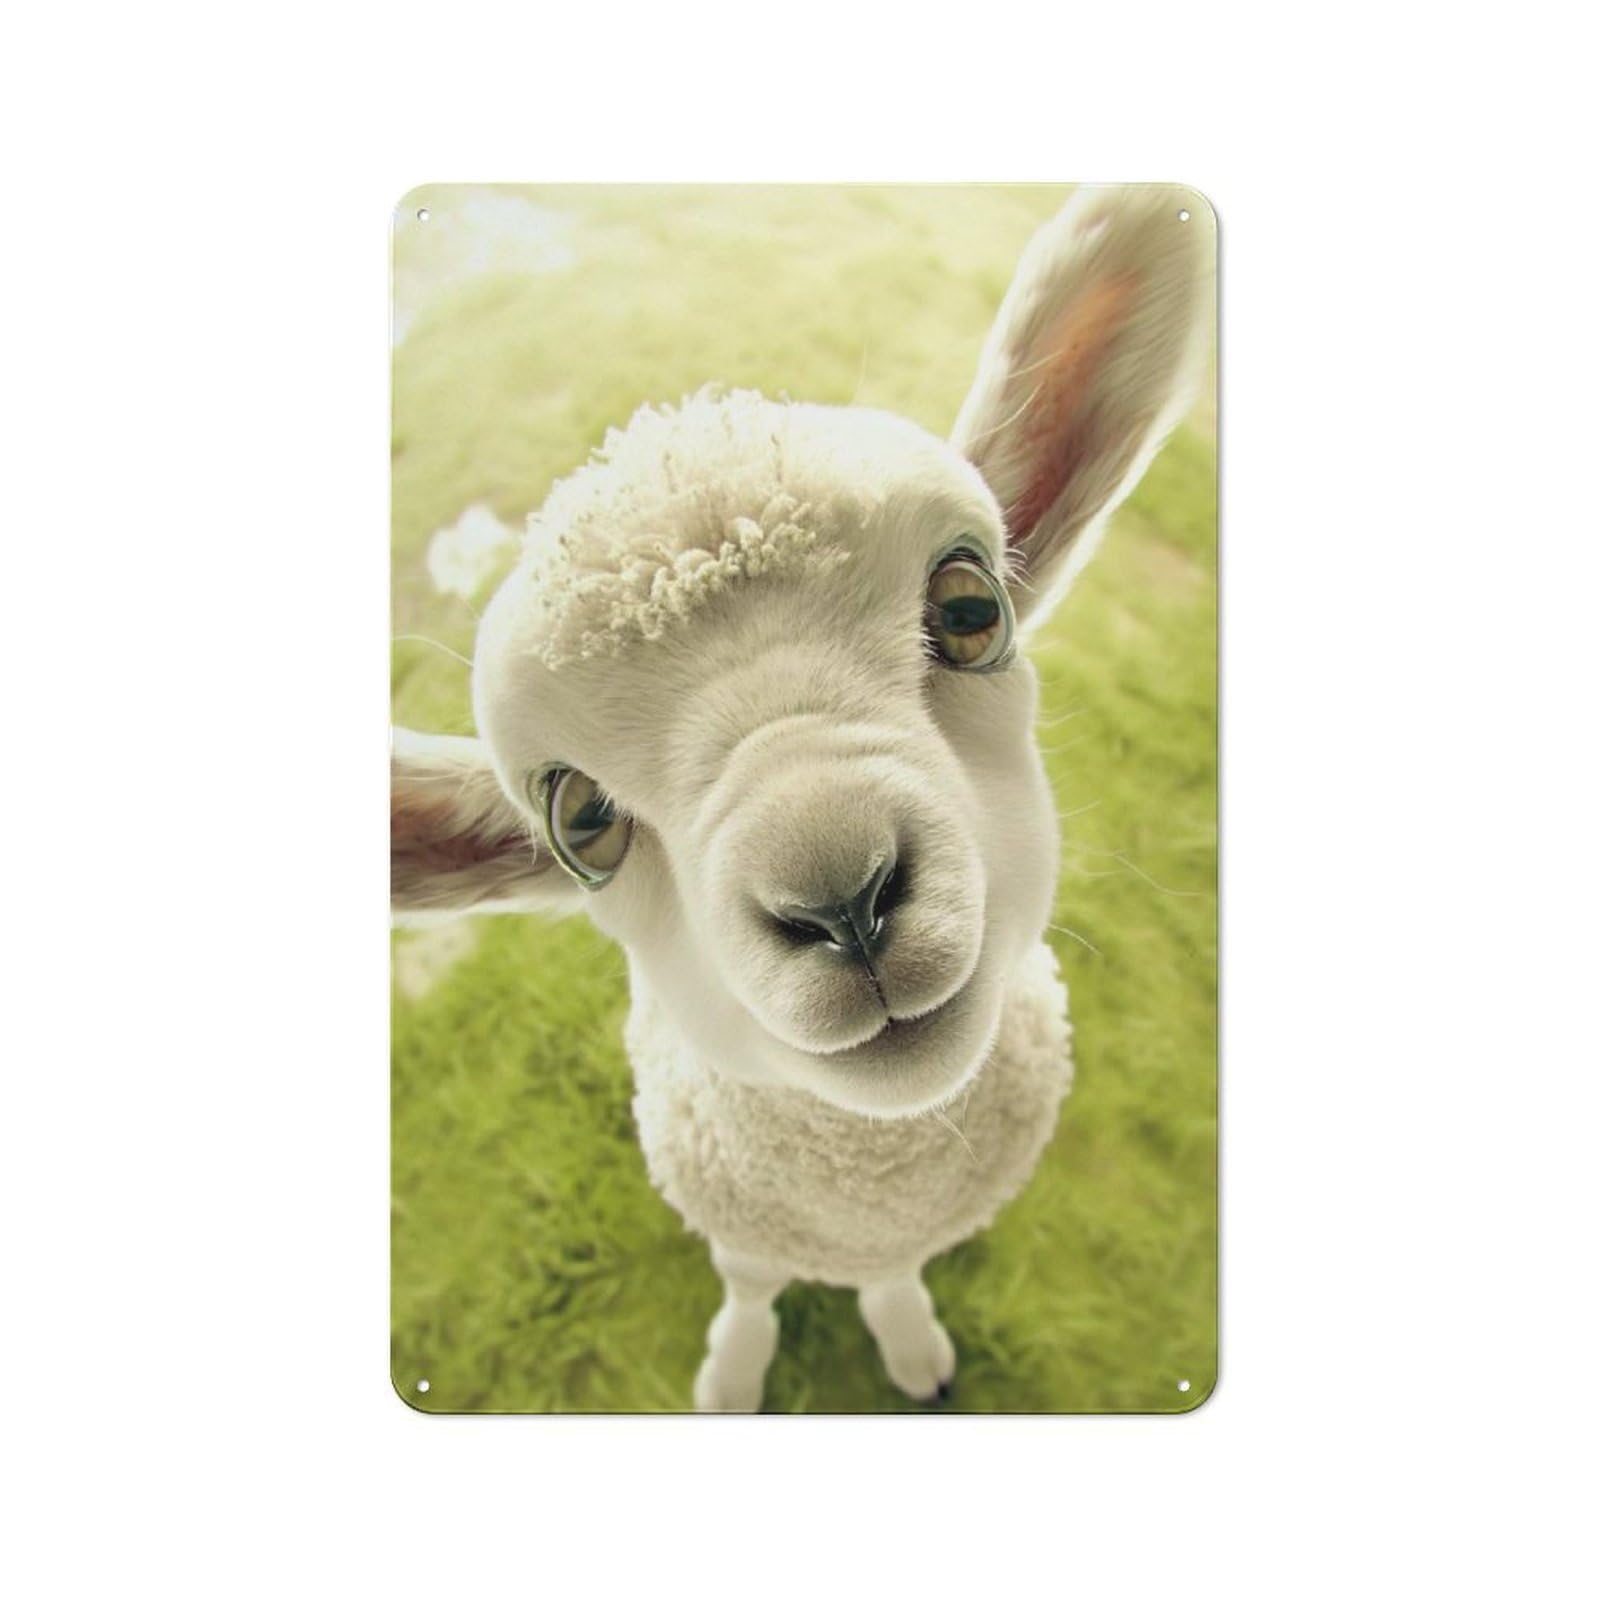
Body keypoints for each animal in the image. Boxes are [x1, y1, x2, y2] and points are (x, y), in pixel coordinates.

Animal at [391, 185, 1213, 1410]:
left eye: (970, 607)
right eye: (579, 820)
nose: (841, 899)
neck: (866, 1194)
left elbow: (893, 1284)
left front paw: (910, 1344)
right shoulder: (738, 1226)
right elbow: (747, 1288)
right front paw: (734, 1373)